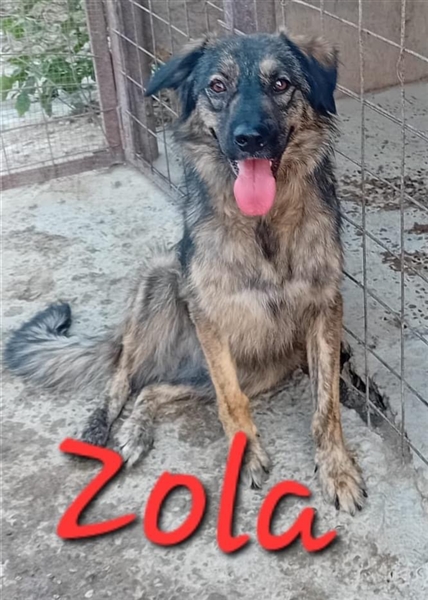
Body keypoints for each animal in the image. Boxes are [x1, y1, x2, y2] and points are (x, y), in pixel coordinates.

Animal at [5, 30, 366, 513]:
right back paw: (100, 428)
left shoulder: (325, 309)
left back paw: (136, 431)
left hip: (263, 368)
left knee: (154, 389)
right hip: (161, 281)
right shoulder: (209, 315)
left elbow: (326, 405)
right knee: (124, 376)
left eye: (281, 84)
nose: (249, 139)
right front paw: (246, 455)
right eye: (217, 86)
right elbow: (230, 403)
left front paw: (336, 468)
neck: (263, 225)